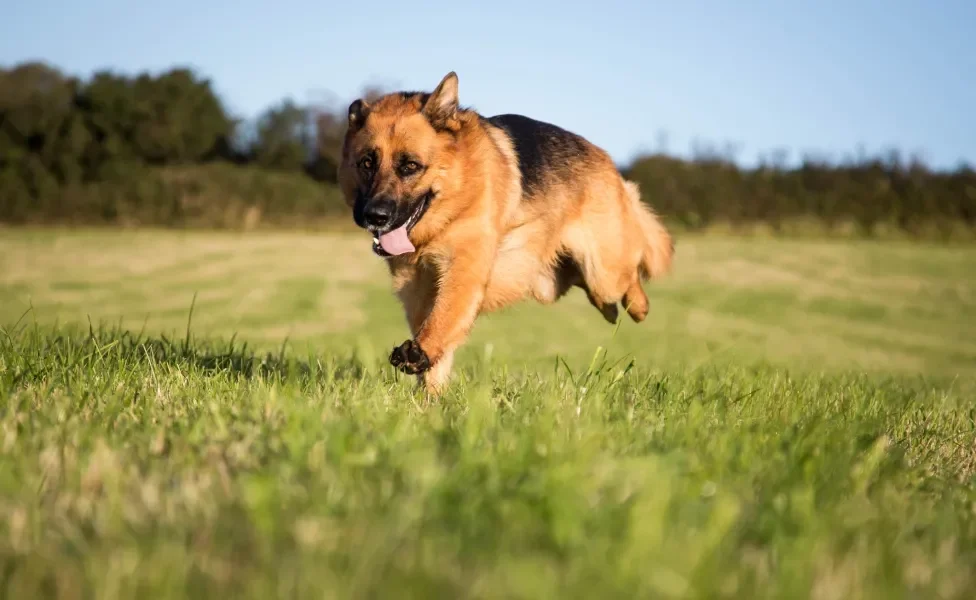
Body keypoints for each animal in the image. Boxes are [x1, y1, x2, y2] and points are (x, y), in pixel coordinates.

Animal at [338, 72, 672, 396]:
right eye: (366, 163)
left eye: (410, 166)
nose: (375, 216)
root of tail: (609, 164)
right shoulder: (417, 290)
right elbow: (437, 345)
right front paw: (430, 397)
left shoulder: (464, 270)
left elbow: (444, 319)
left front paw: (420, 354)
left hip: (604, 273)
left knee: (630, 277)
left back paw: (638, 305)